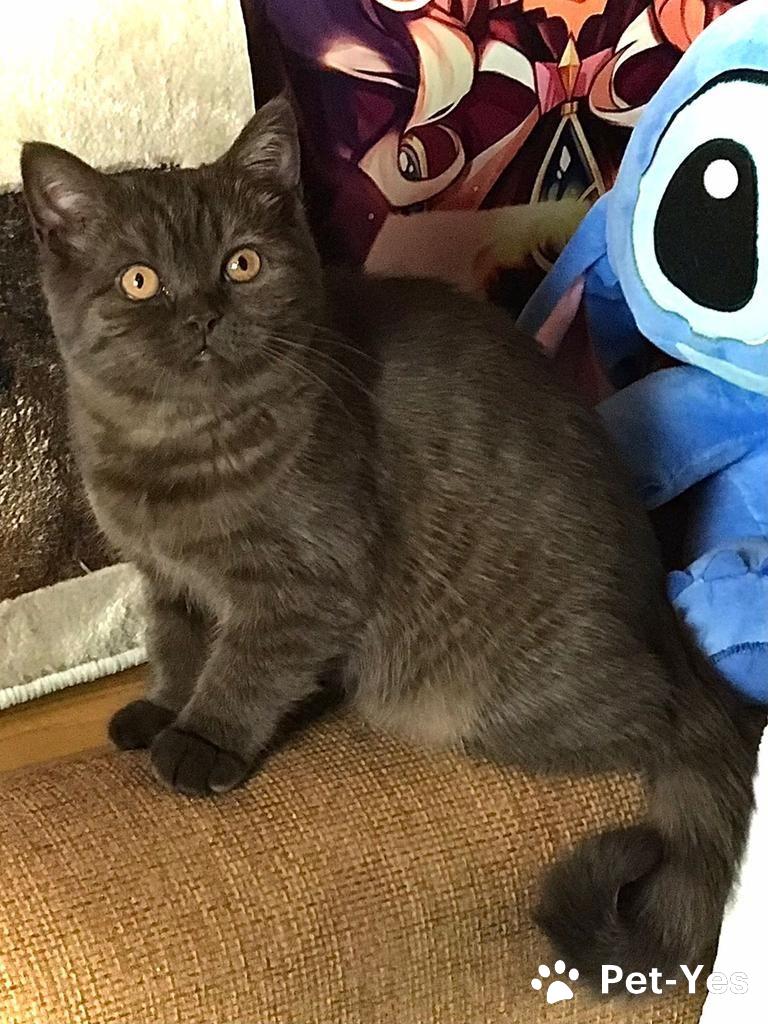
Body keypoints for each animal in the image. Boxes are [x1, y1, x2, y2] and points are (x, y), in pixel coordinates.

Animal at [21, 96, 764, 984]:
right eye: (140, 281)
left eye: (242, 264)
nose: (204, 313)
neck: (175, 448)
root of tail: (662, 617)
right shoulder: (166, 580)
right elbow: (176, 644)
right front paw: (163, 706)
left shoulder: (305, 588)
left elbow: (242, 669)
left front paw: (199, 739)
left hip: (493, 697)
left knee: (667, 724)